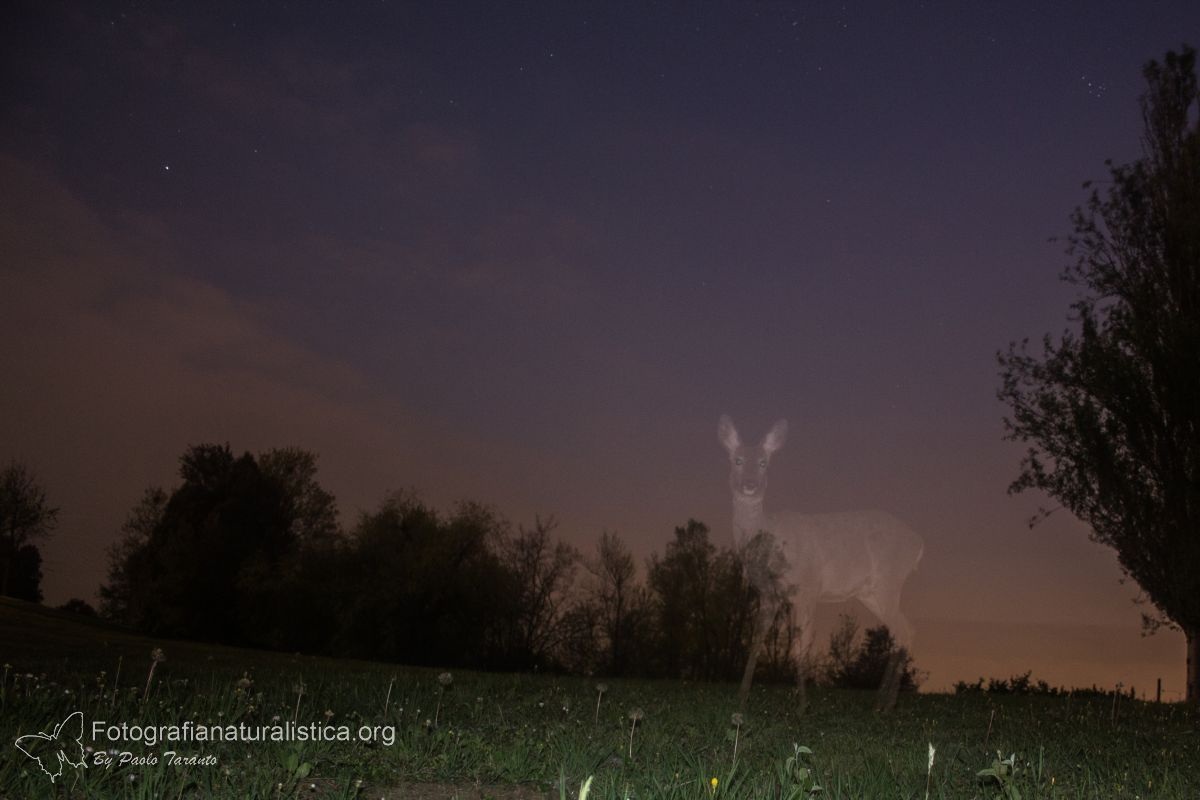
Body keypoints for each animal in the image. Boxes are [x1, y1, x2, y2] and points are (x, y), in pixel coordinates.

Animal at [715, 417, 921, 710]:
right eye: (738, 460)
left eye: (764, 462)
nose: (750, 484)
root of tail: (919, 544)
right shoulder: (769, 593)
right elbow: (756, 639)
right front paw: (742, 696)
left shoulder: (808, 586)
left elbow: (802, 644)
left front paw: (802, 705)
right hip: (870, 592)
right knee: (902, 630)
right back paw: (881, 702)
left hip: (889, 580)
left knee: (904, 630)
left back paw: (886, 703)